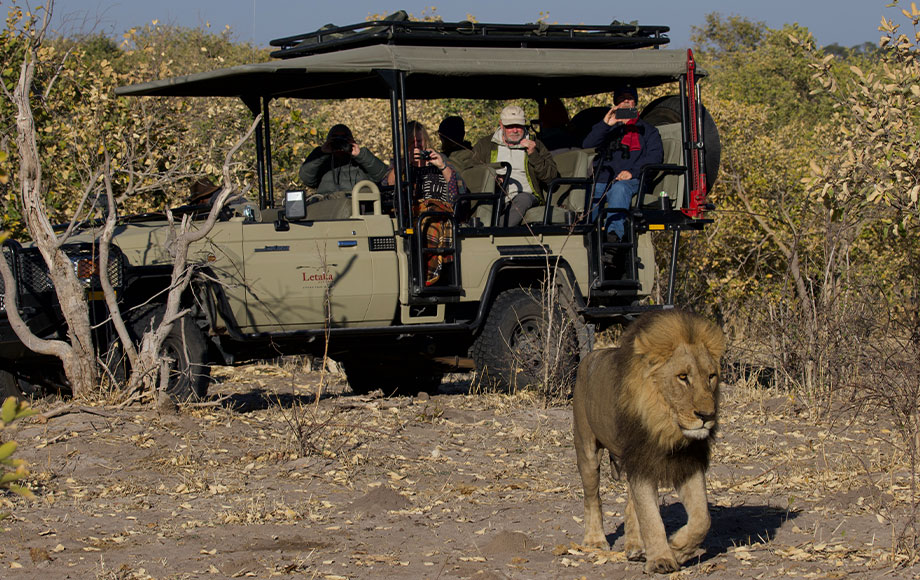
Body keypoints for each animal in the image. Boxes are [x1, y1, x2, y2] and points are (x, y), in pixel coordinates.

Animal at [568, 310, 724, 572]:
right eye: (683, 377)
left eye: (711, 376)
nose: (707, 416)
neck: (666, 426)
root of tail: (590, 357)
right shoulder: (641, 460)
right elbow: (651, 518)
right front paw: (661, 559)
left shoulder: (687, 462)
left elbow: (702, 518)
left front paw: (678, 548)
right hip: (587, 449)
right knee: (592, 497)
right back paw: (595, 540)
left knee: (632, 504)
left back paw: (636, 547)